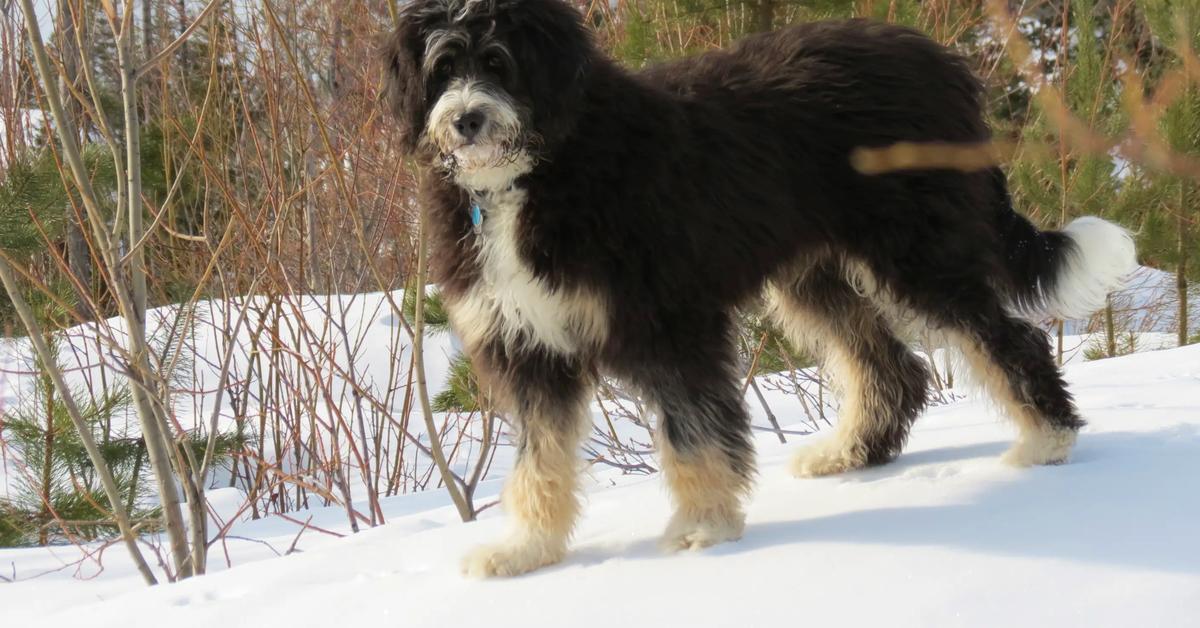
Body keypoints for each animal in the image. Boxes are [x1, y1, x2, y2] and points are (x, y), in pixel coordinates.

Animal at [381, 0, 1132, 581]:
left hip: (918, 250)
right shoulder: (527, 342)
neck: (539, 169)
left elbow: (692, 433)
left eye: (499, 60)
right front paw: (525, 550)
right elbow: (539, 457)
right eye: (443, 68)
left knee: (1005, 336)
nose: (466, 119)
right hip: (815, 274)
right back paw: (850, 452)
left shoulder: (668, 320)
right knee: (890, 366)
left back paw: (1047, 440)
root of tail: (940, 61)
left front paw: (703, 527)